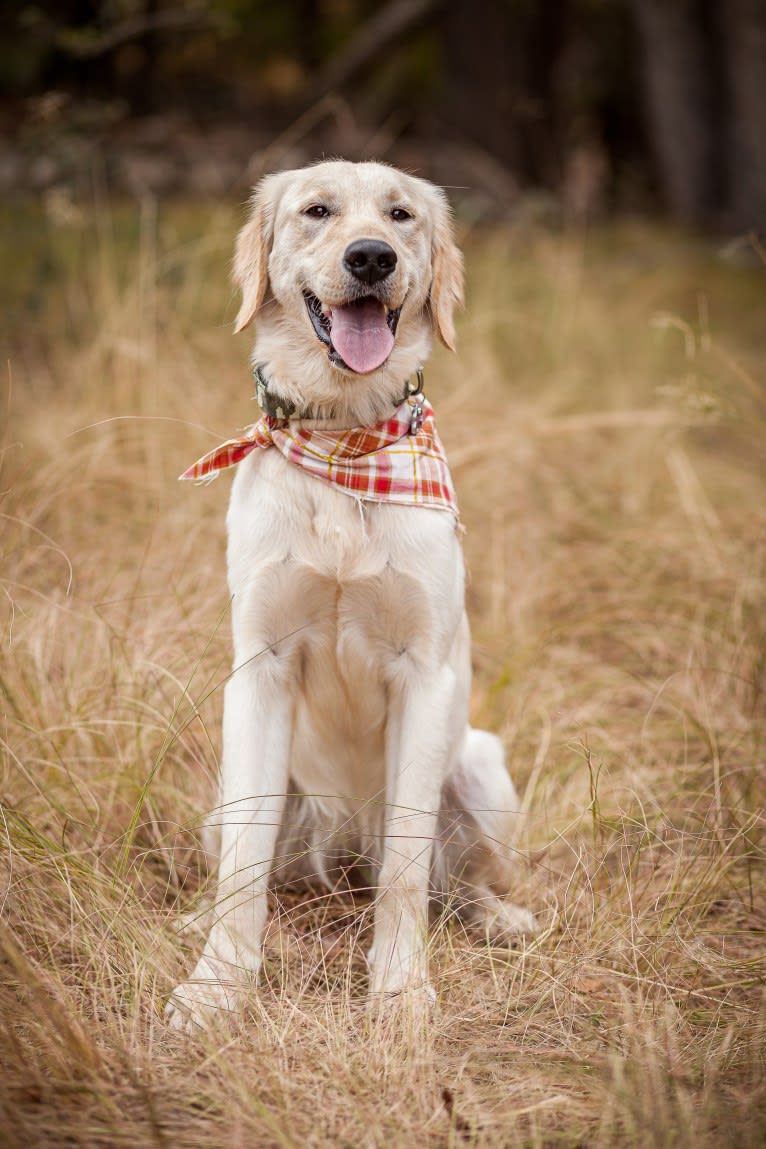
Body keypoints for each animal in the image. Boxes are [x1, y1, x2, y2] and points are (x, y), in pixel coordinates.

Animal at [166, 162, 532, 1034]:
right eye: (317, 210)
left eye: (400, 216)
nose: (370, 258)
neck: (342, 434)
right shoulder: (259, 669)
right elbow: (243, 868)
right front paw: (216, 985)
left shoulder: (424, 674)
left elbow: (405, 869)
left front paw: (399, 991)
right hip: (226, 793)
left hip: (484, 769)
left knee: (454, 877)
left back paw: (498, 916)